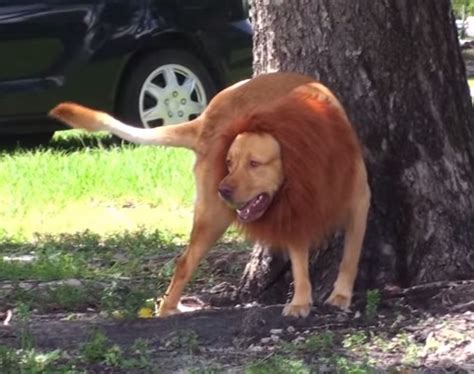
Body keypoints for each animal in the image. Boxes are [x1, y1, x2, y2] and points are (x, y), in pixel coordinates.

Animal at [49, 71, 370, 318]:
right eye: (229, 162)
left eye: (254, 163)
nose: (223, 188)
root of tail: (205, 116)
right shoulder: (294, 213)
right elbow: (301, 263)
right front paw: (301, 301)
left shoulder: (357, 205)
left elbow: (350, 256)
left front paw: (340, 295)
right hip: (212, 216)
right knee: (184, 262)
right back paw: (168, 309)